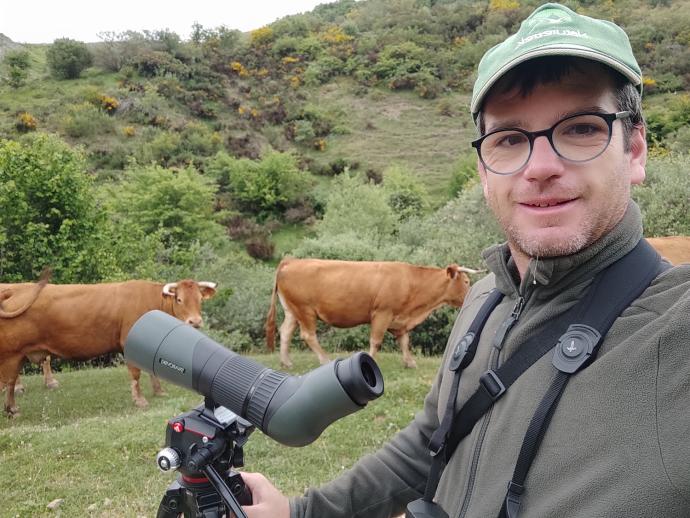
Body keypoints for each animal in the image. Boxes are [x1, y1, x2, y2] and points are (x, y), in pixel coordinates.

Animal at [264, 260, 478, 370]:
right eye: (467, 281)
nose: (472, 294)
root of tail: (291, 261)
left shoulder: (398, 319)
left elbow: (404, 341)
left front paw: (410, 362)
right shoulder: (382, 313)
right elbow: (376, 341)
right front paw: (371, 360)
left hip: (292, 310)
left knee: (285, 332)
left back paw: (286, 362)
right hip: (305, 310)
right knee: (308, 335)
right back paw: (325, 360)